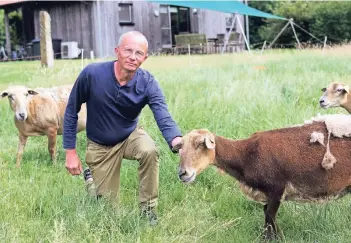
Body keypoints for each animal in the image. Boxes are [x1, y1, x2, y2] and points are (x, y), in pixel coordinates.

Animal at [174, 118, 351, 240]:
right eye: (180, 147)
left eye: (200, 144)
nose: (182, 173)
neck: (245, 156)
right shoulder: (267, 193)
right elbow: (267, 216)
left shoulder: (276, 188)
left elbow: (270, 216)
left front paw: (275, 238)